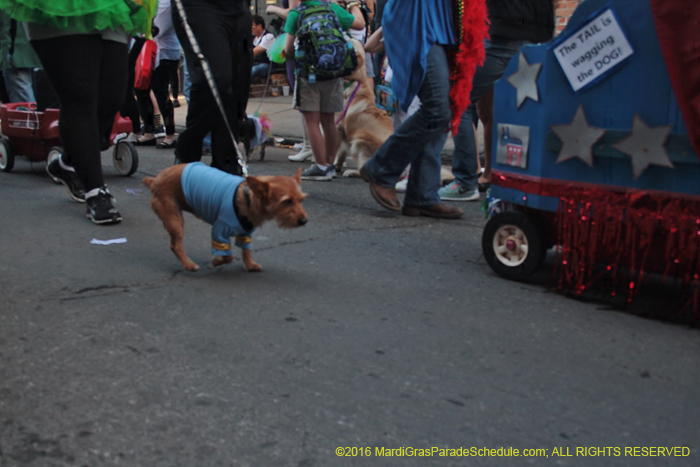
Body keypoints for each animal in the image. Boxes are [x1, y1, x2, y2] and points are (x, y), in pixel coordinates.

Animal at [142, 165, 306, 274]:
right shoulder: (219, 231)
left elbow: (246, 250)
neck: (246, 198)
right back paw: (188, 264)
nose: (304, 221)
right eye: (286, 201)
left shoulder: (245, 233)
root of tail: (155, 179)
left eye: (301, 200)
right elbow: (229, 256)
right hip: (174, 219)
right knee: (175, 245)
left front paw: (249, 264)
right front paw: (217, 261)